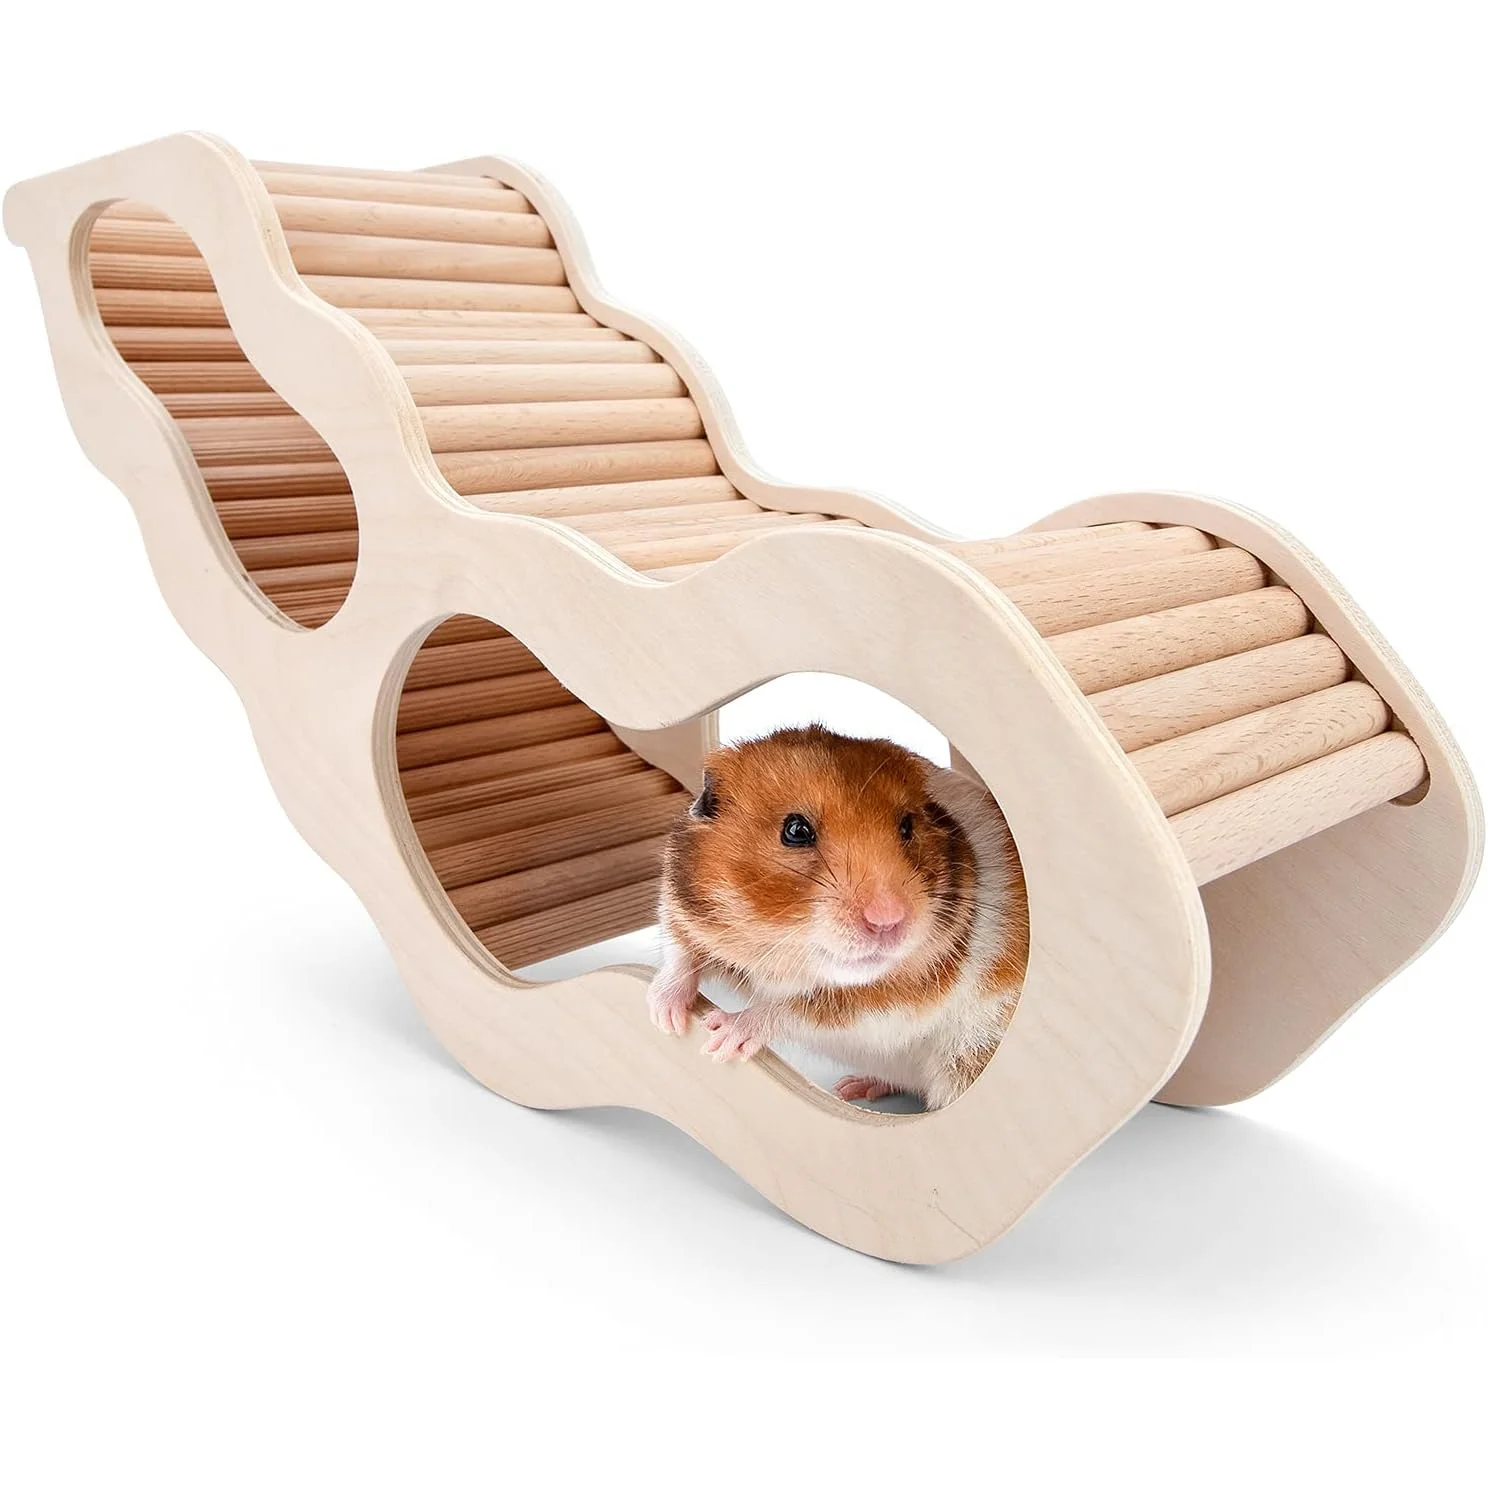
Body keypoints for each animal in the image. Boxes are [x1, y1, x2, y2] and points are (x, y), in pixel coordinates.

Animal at [646, 725, 1029, 1110]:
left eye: (907, 827)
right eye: (796, 830)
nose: (888, 921)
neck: (781, 951)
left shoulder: (885, 1006)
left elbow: (789, 1010)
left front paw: (720, 1037)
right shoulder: (681, 909)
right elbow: (680, 955)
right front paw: (665, 1019)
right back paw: (853, 1086)